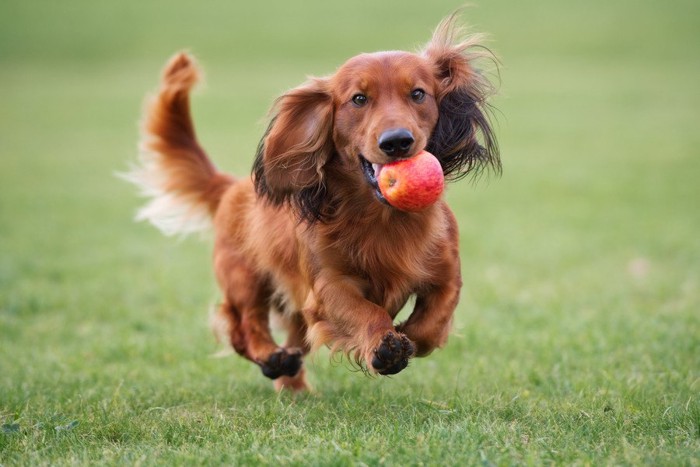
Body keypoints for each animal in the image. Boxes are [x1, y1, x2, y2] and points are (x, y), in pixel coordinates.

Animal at [126, 13, 498, 392]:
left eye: (419, 93)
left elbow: (431, 325)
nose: (396, 141)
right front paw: (385, 345)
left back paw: (293, 384)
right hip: (244, 277)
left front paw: (405, 334)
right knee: (243, 325)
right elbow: (365, 311)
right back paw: (271, 357)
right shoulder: (327, 286)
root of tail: (230, 186)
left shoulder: (447, 274)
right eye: (359, 99)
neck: (383, 218)